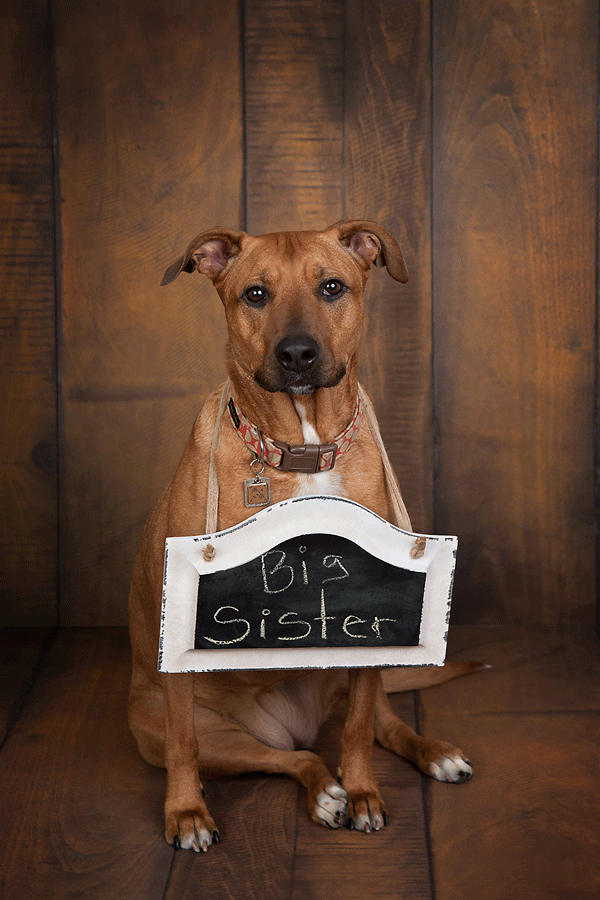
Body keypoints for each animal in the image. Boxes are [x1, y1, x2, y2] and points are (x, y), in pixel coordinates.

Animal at [127, 218, 478, 852]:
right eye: (255, 294)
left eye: (332, 287)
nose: (296, 353)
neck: (303, 445)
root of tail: (296, 725)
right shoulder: (182, 658)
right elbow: (184, 743)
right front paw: (186, 812)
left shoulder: (371, 634)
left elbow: (360, 732)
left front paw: (364, 793)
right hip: (207, 737)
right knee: (295, 760)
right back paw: (322, 790)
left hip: (359, 673)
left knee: (381, 726)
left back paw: (429, 755)